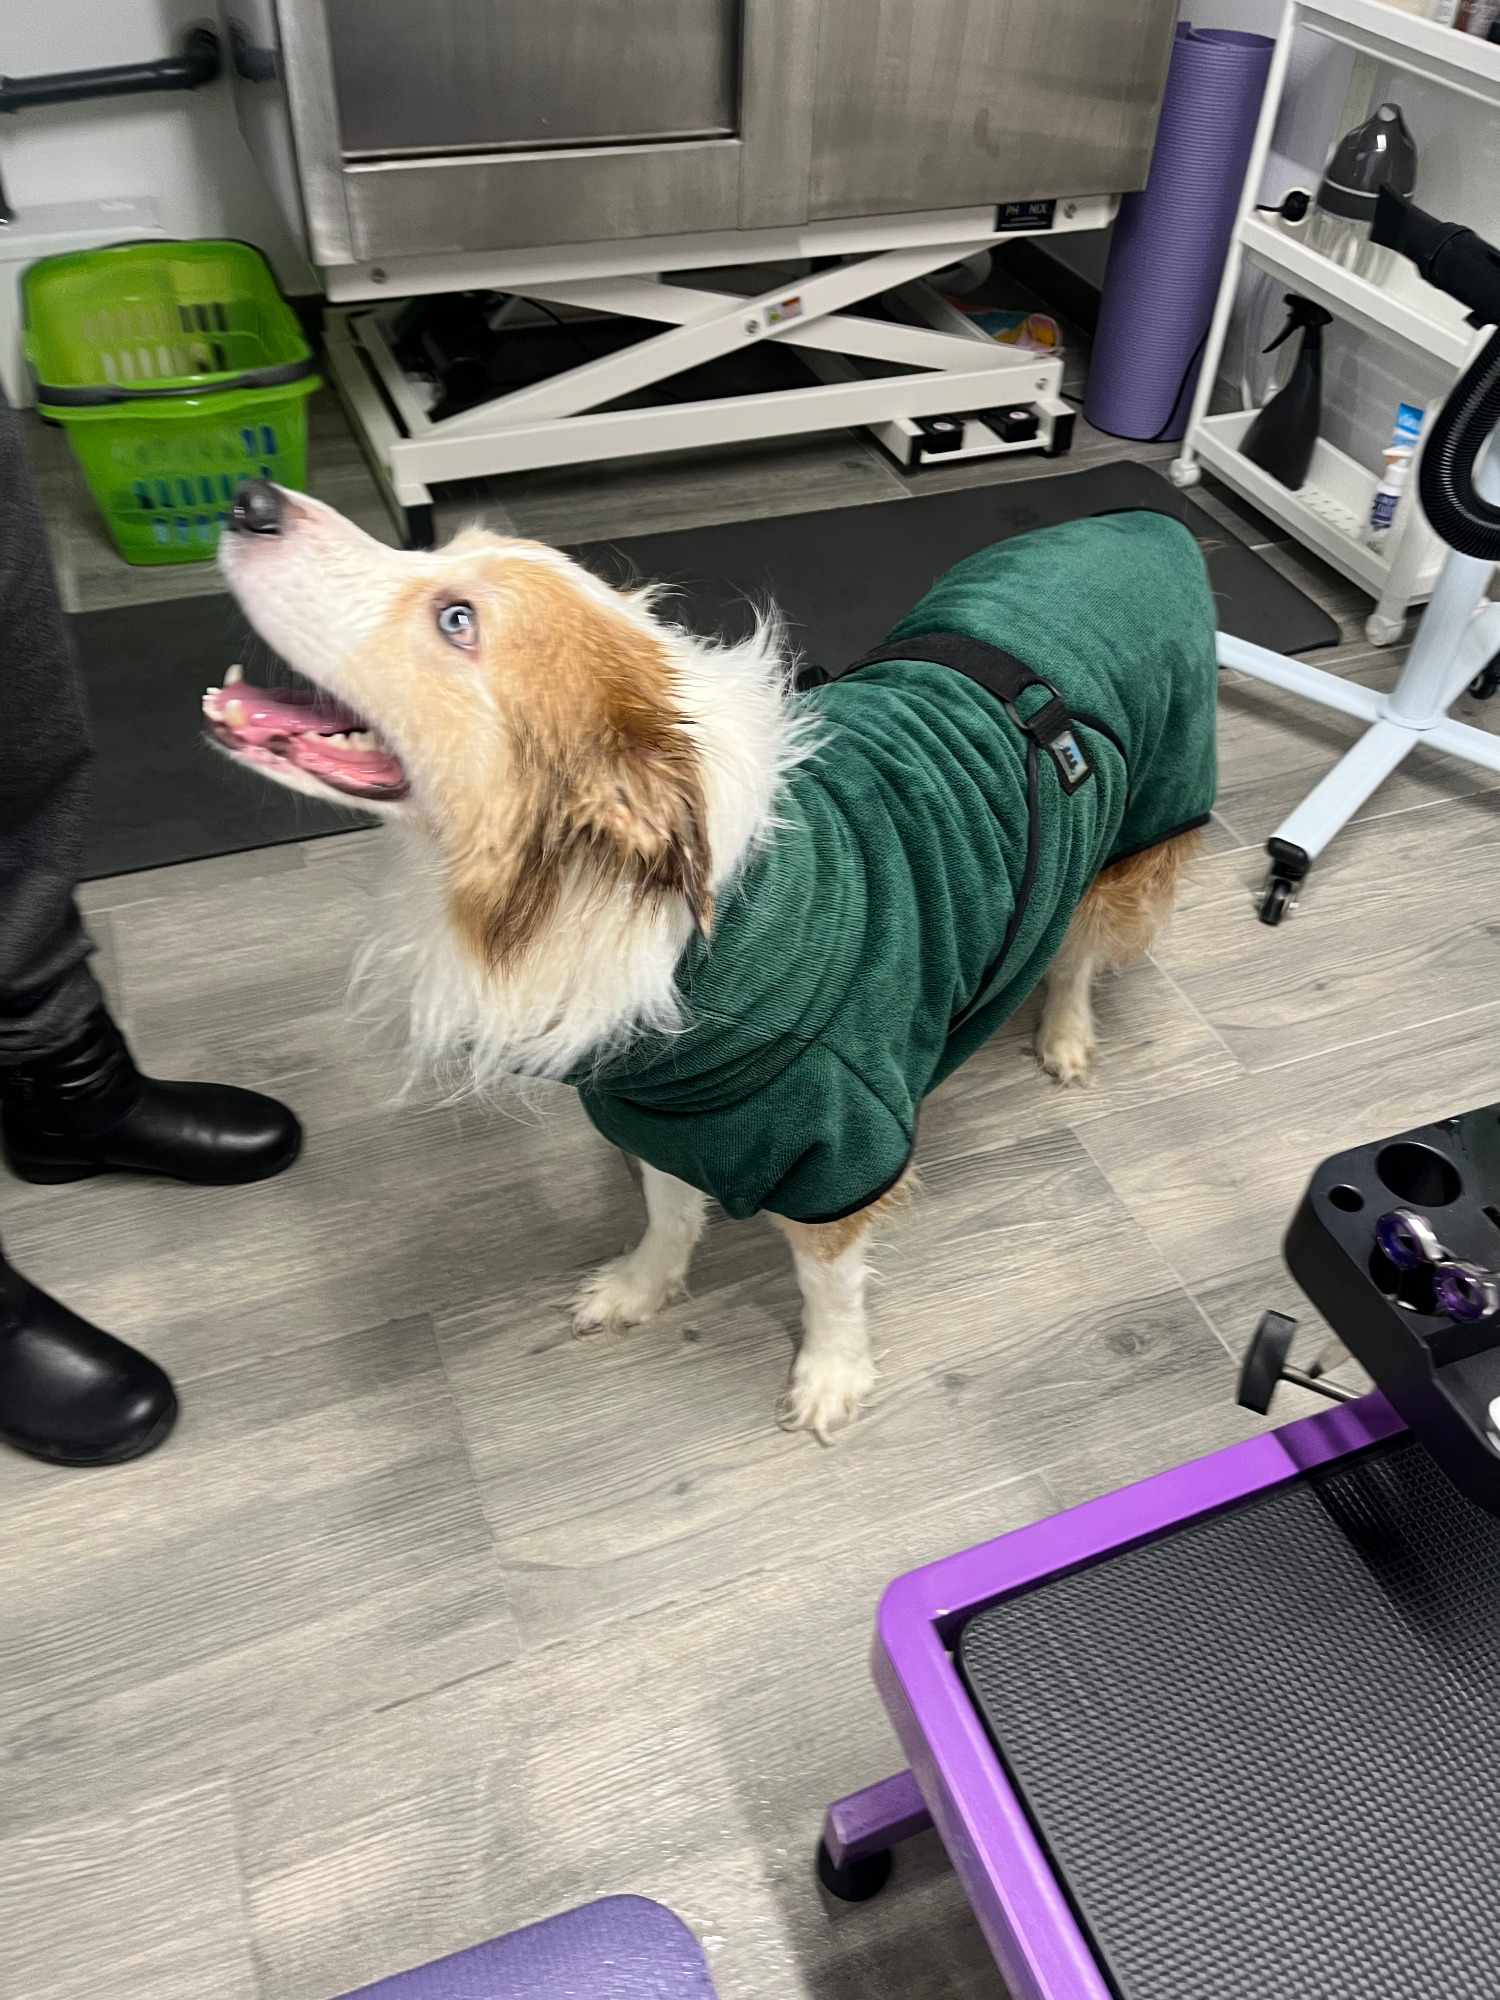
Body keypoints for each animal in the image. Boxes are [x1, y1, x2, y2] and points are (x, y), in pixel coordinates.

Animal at [210, 481, 1216, 1438]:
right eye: (438, 555)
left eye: (457, 620)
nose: (251, 500)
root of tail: (1142, 518)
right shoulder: (662, 1110)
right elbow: (667, 1211)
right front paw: (639, 1287)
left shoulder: (842, 1151)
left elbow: (827, 1283)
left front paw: (832, 1375)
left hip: (1137, 837)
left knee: (1080, 947)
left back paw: (1066, 1034)